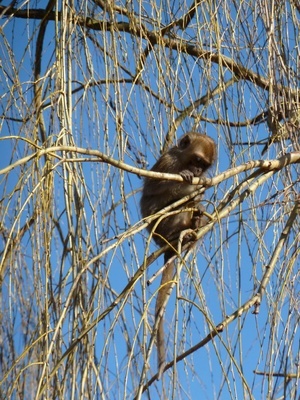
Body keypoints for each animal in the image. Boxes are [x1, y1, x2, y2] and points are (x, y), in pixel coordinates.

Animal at [141, 133, 216, 380]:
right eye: (197, 161)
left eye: (204, 165)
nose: (198, 171)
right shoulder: (167, 163)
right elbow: (155, 188)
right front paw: (187, 181)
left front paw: (201, 186)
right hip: (159, 228)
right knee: (172, 205)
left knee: (195, 209)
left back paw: (195, 224)